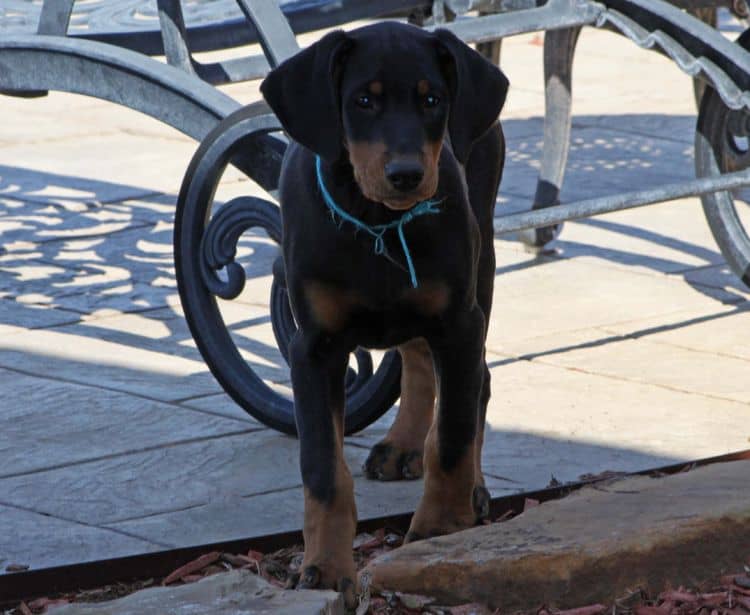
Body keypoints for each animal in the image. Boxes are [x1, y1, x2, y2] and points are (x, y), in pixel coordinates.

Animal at [260, 20, 512, 612]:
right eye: (363, 100)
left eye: (433, 100)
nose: (406, 175)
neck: (375, 219)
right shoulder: (315, 347)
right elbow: (322, 469)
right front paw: (326, 569)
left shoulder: (459, 324)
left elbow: (453, 437)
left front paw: (441, 529)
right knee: (418, 363)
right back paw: (402, 446)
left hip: (480, 264)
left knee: (475, 386)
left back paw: (472, 488)